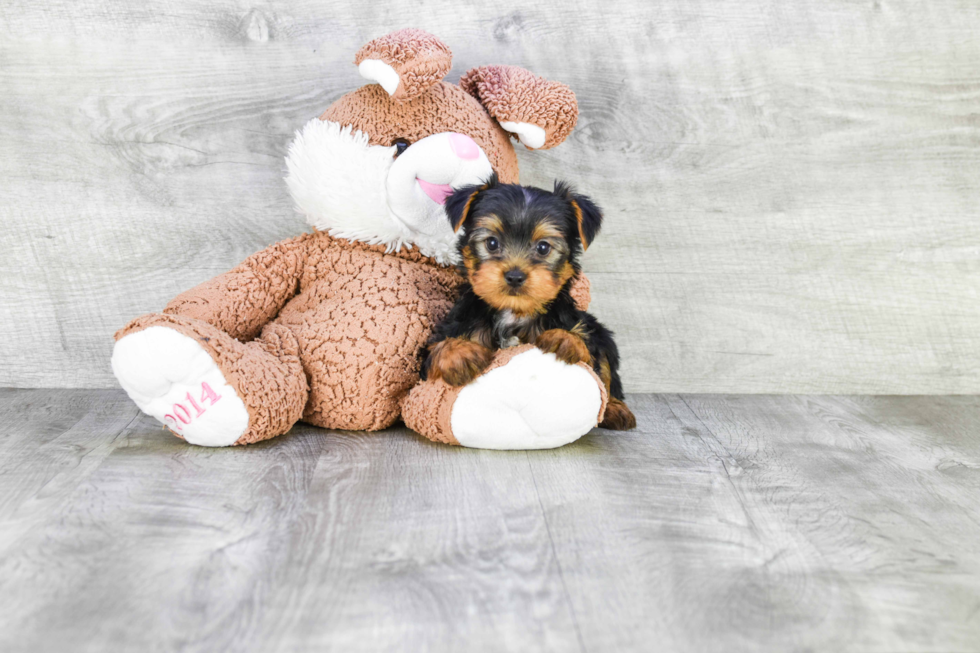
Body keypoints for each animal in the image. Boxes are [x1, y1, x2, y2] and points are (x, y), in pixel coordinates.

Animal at [420, 173, 636, 430]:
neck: (515, 311)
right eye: (491, 243)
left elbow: (591, 364)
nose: (515, 275)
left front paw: (565, 339)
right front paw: (459, 354)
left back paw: (615, 409)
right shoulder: (450, 332)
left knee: (606, 372)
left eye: (543, 248)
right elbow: (436, 350)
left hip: (601, 334)